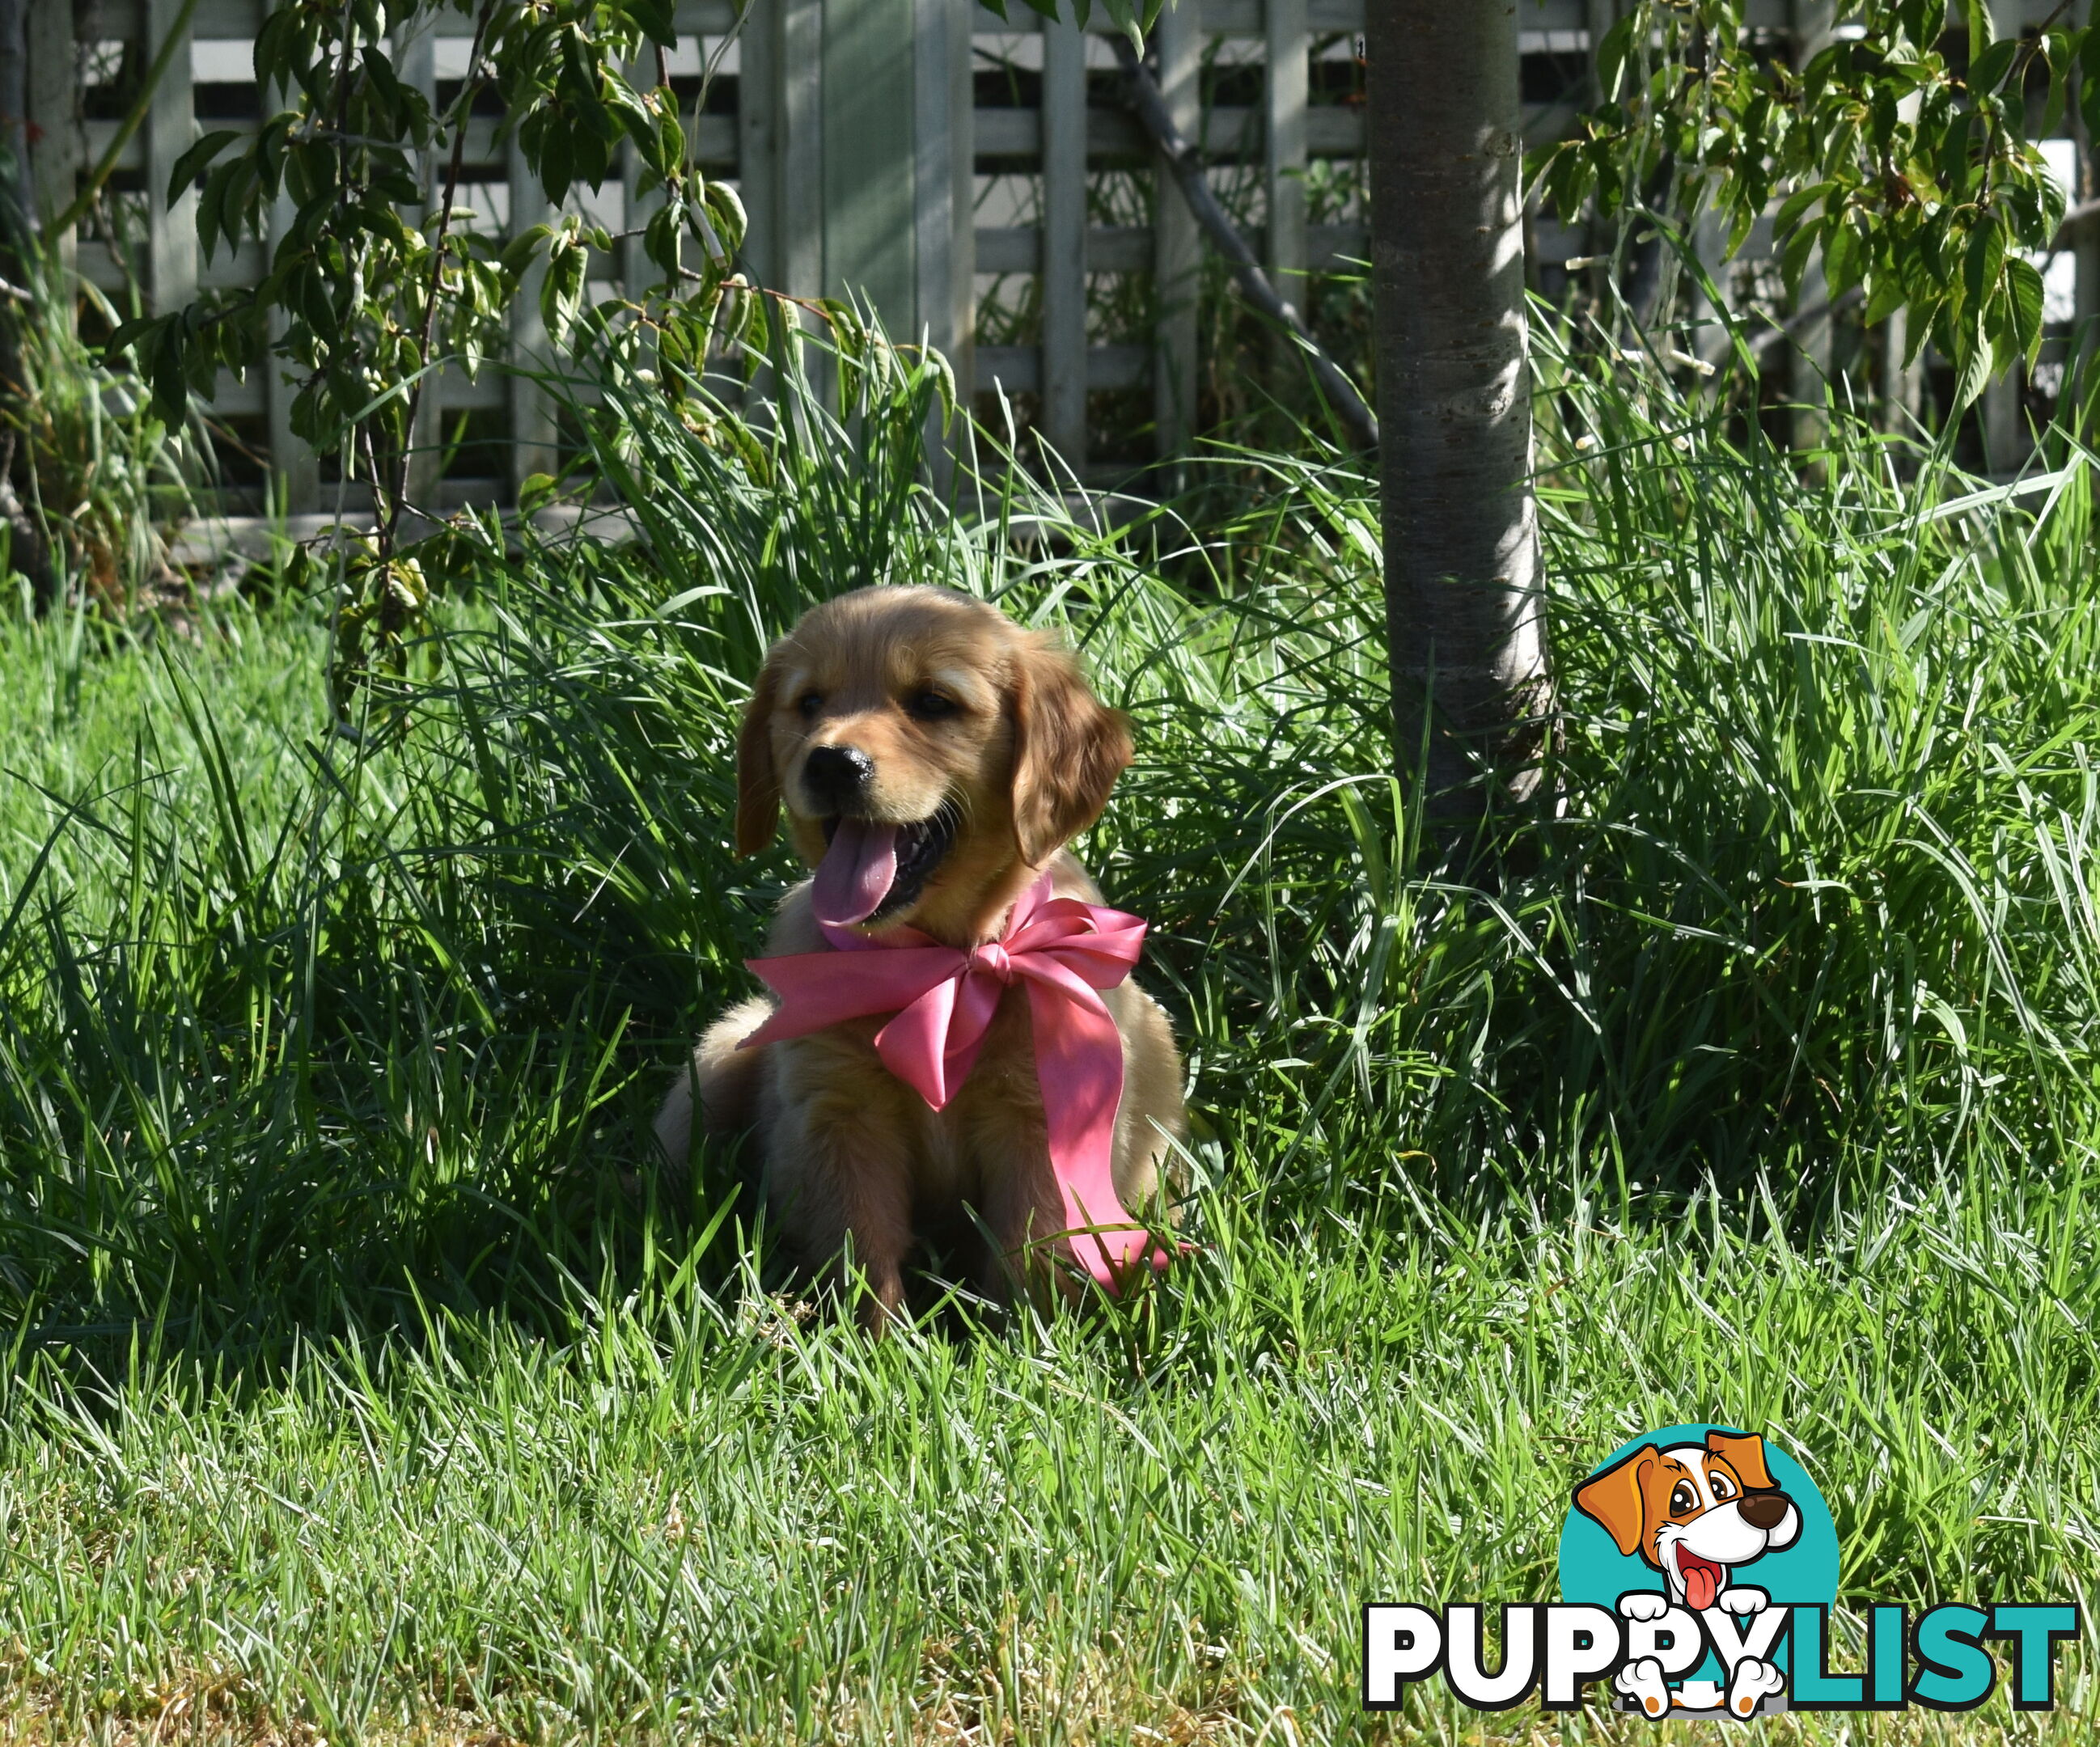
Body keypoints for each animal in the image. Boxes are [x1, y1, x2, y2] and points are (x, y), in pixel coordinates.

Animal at [654, 583, 1184, 1326]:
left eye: (933, 702)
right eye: (809, 703)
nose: (831, 762)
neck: (942, 962)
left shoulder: (1039, 1116)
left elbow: (1032, 1246)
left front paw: (1028, 1338)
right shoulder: (840, 1112)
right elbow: (860, 1245)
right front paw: (870, 1341)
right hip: (723, 1054)